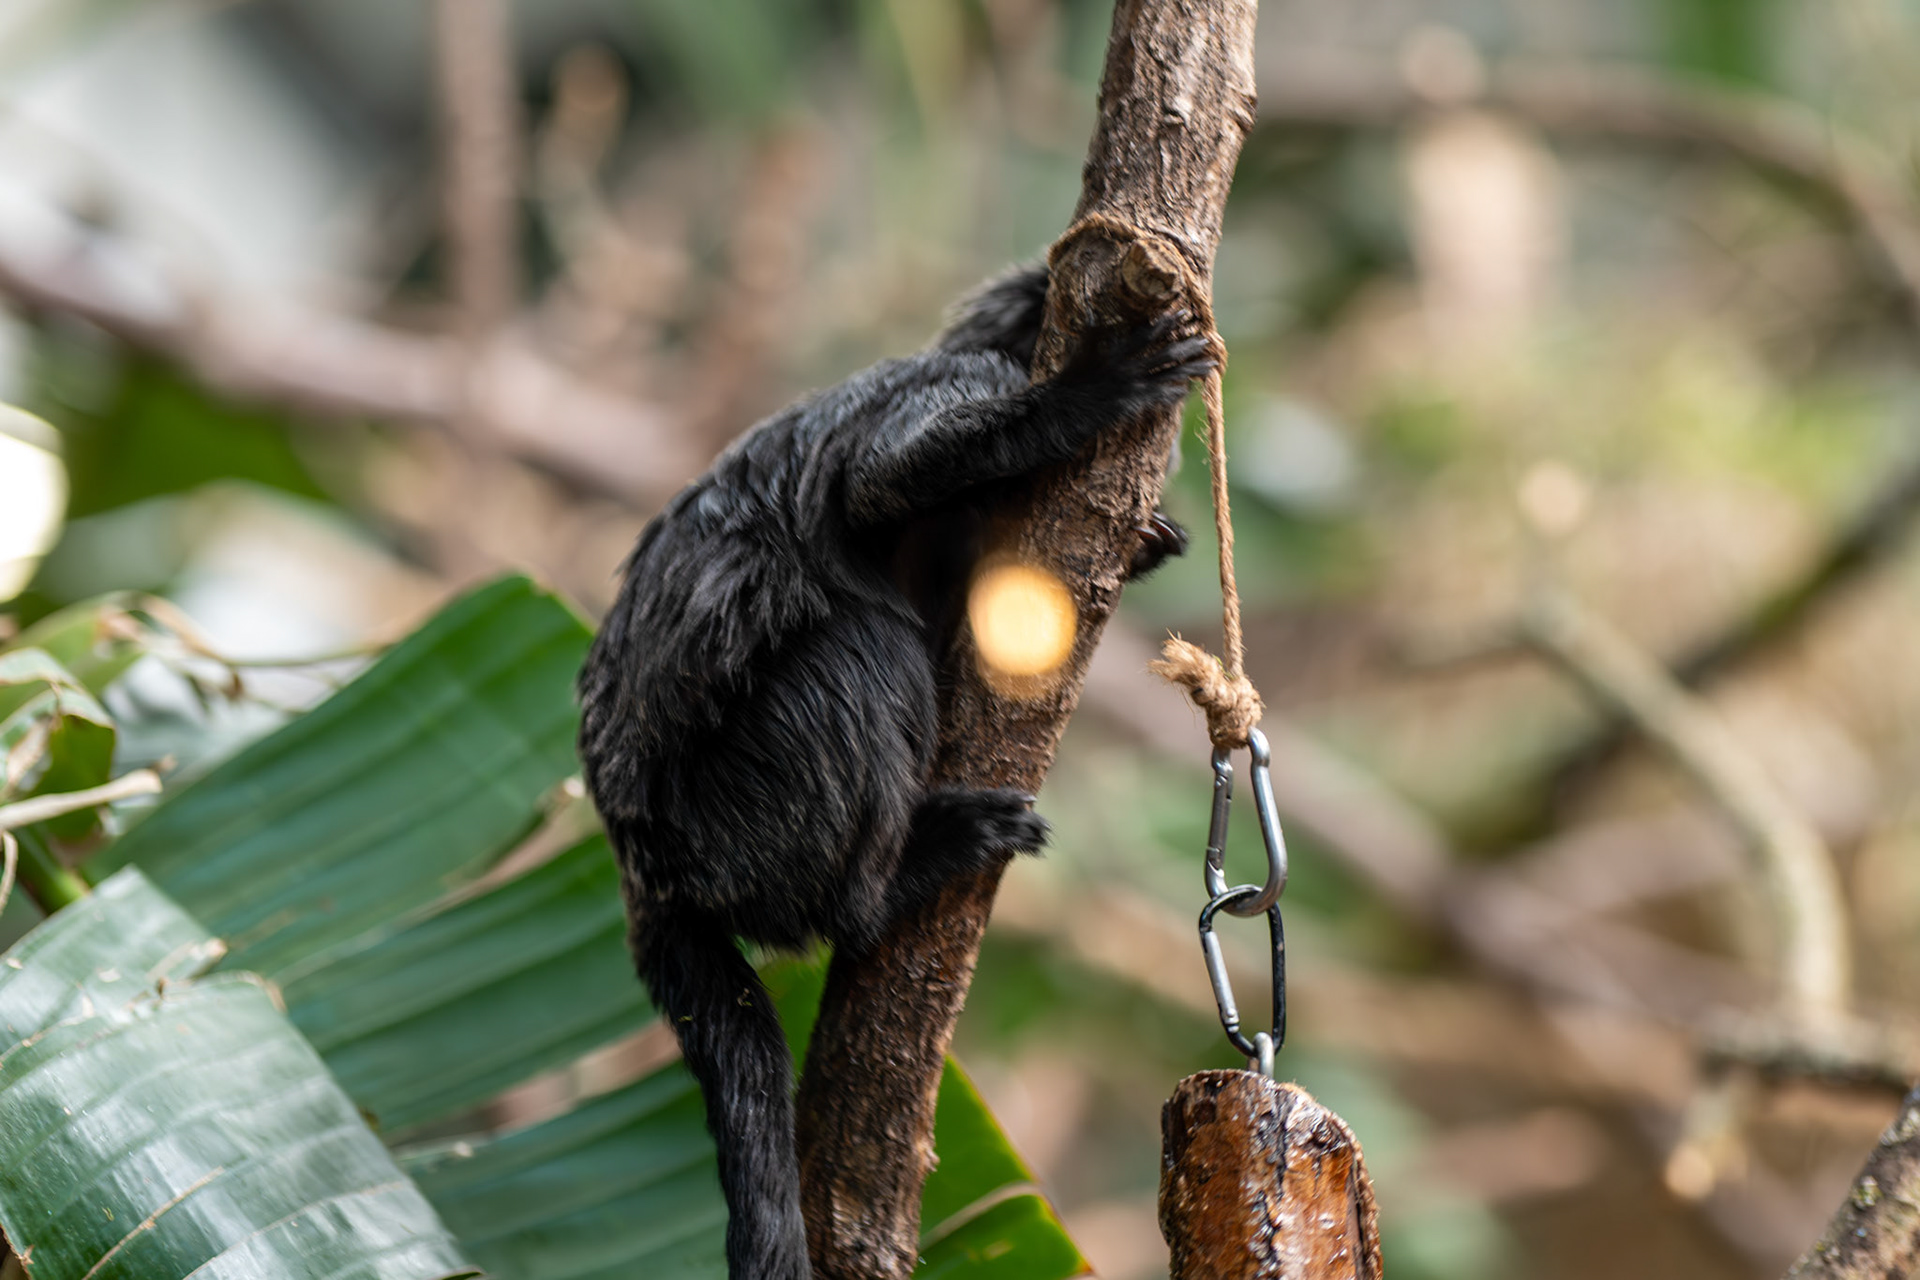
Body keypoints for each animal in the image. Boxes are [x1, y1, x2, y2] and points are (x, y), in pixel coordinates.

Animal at [576, 261, 1212, 1279]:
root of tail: (645, 868)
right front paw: (1091, 392)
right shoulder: (954, 381)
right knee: (857, 648)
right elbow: (882, 480)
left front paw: (1151, 538)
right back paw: (893, 883)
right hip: (738, 819)